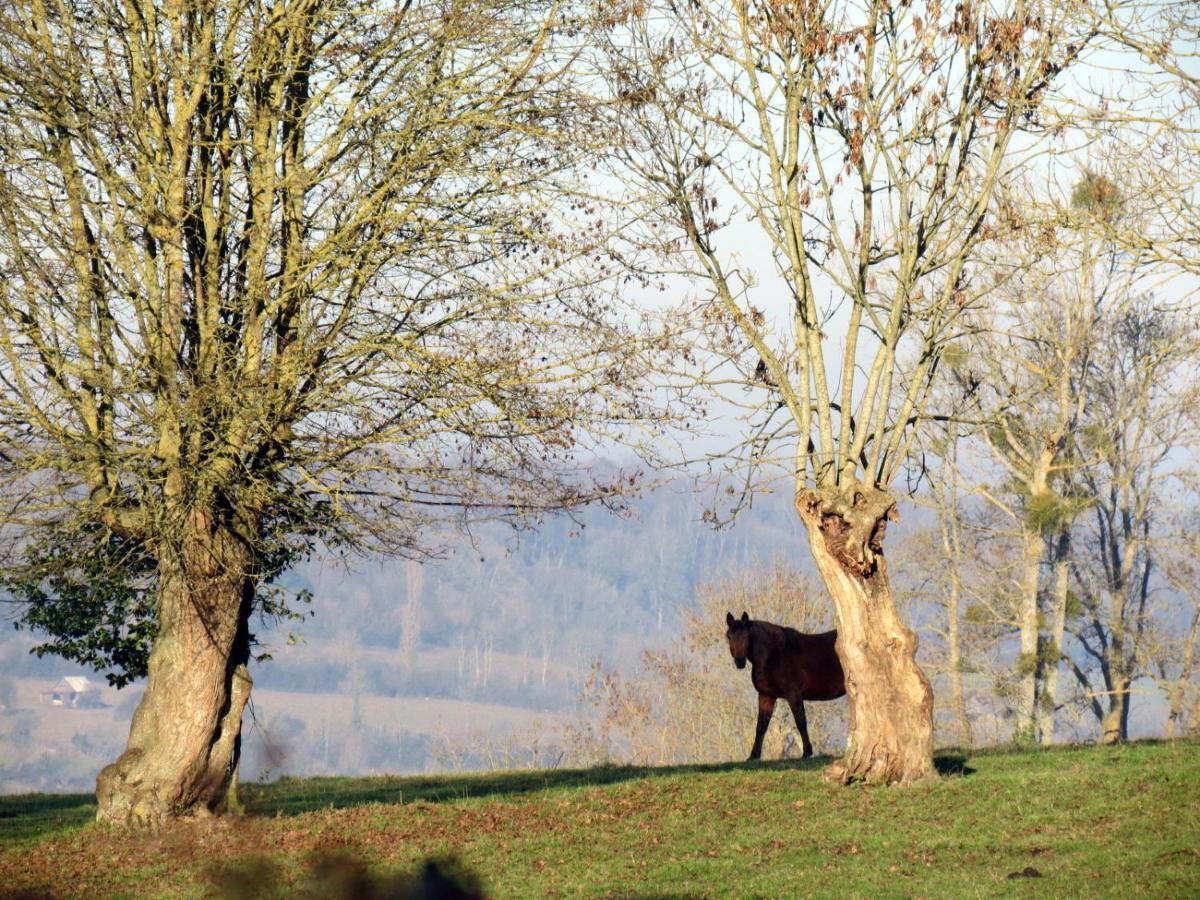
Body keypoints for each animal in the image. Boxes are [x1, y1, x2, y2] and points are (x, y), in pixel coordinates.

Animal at [720, 614, 844, 763]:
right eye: (729, 636)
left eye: (746, 635)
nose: (740, 662)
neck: (775, 652)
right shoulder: (766, 695)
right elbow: (761, 726)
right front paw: (753, 756)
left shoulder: (793, 695)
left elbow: (801, 722)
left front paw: (807, 752)